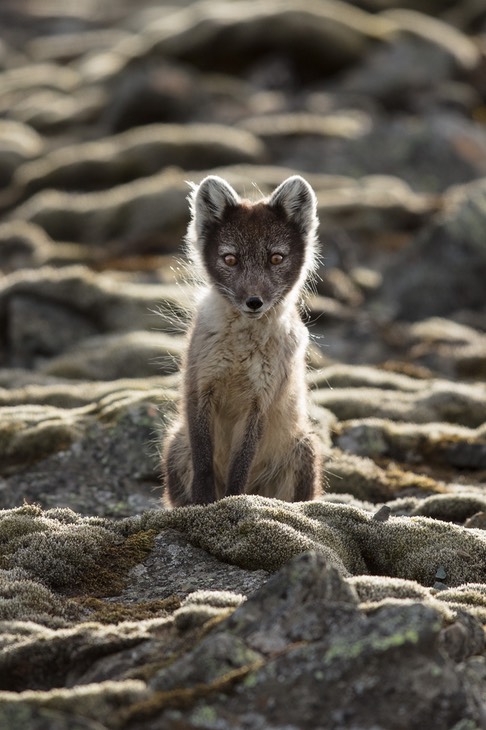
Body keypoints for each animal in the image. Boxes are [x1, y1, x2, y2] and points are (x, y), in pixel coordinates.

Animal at [162, 173, 322, 504]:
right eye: (231, 259)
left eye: (276, 258)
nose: (254, 302)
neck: (240, 351)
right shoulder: (200, 387)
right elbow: (204, 462)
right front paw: (204, 504)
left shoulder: (260, 400)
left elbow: (241, 466)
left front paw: (232, 502)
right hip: (176, 443)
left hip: (304, 447)